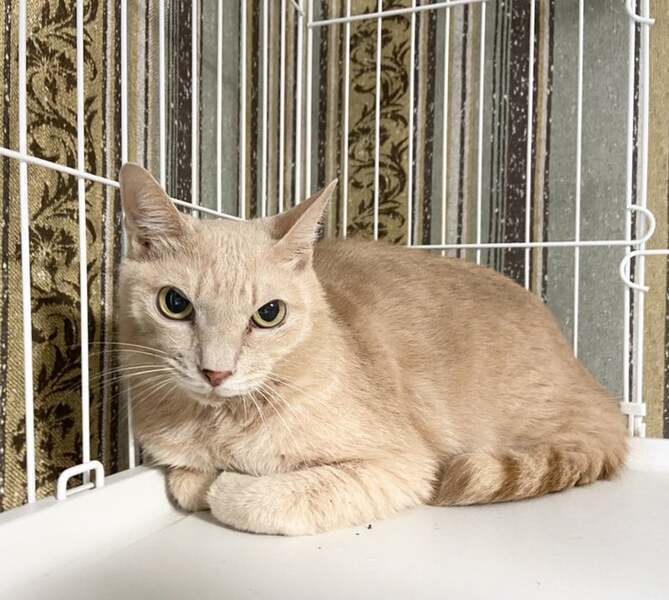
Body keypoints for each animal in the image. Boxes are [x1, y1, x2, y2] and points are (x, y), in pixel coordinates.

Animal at [118, 163, 627, 535]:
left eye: (269, 314)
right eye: (175, 304)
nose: (216, 372)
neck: (221, 422)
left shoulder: (401, 467)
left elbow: (239, 495)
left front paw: (228, 484)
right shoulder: (177, 460)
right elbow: (188, 482)